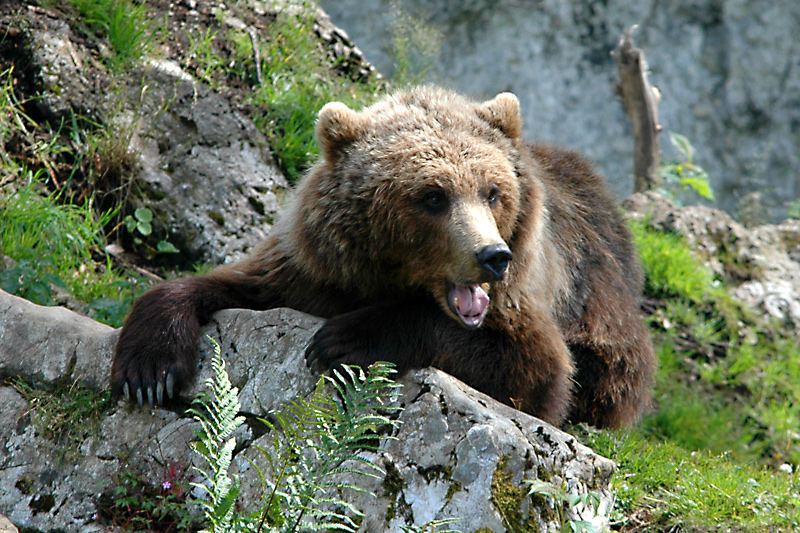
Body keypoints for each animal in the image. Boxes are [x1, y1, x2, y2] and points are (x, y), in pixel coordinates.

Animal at [112, 87, 656, 428]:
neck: (391, 278)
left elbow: (536, 369)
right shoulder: (315, 269)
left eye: (493, 191)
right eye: (434, 195)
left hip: (602, 310)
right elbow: (232, 282)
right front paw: (148, 369)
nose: (492, 256)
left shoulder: (524, 300)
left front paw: (343, 339)